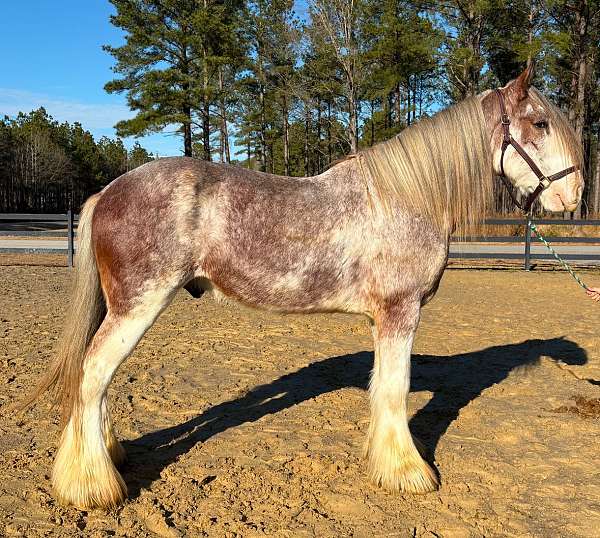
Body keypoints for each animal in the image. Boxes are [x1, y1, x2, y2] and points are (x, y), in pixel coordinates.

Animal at [22, 63, 580, 506]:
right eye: (540, 123)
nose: (573, 196)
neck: (406, 197)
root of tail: (108, 192)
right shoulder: (401, 311)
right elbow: (396, 389)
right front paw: (408, 473)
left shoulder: (385, 318)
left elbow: (382, 387)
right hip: (137, 305)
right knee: (93, 374)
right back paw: (91, 486)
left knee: (97, 379)